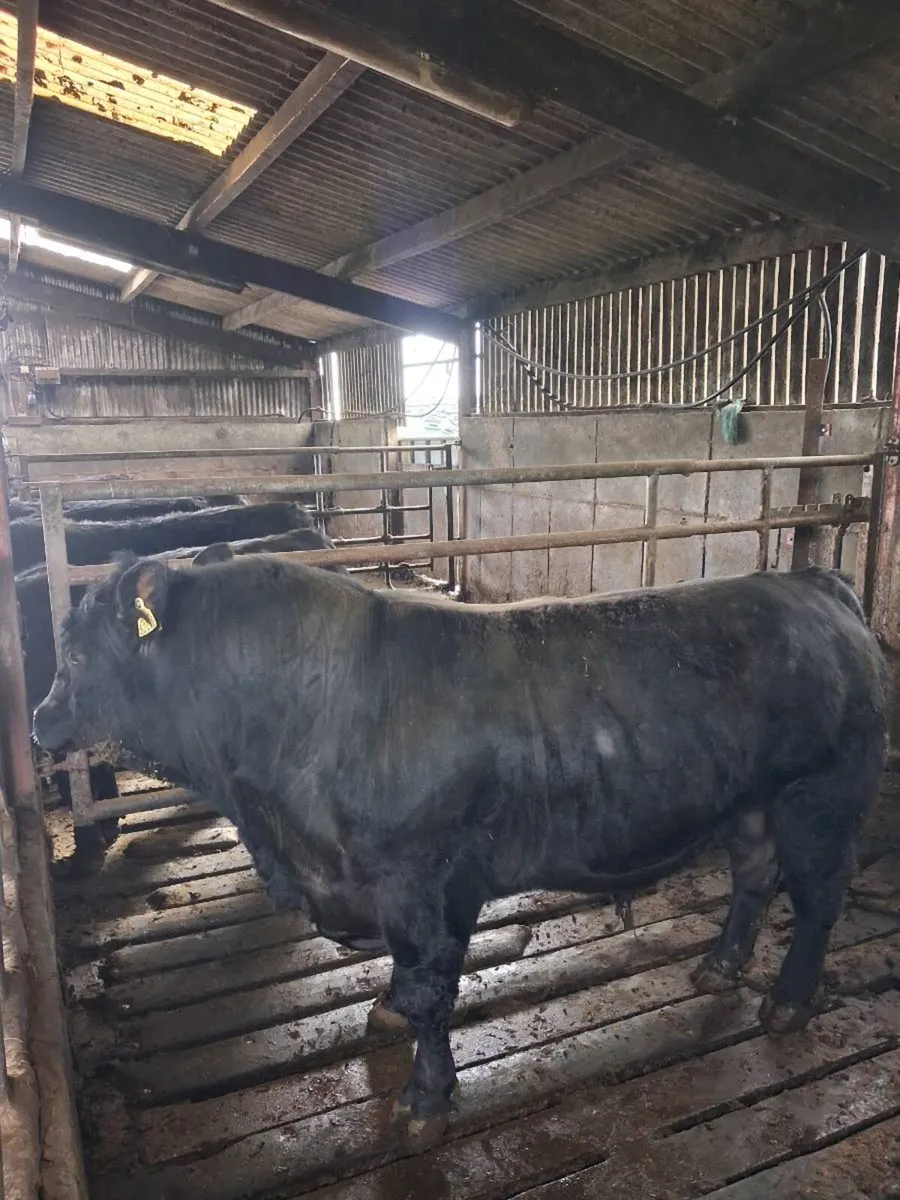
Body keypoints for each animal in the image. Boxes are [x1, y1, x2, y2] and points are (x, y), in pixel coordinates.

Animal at [32, 560, 887, 1135]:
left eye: (76, 655)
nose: (38, 721)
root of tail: (809, 583)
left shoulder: (423, 881)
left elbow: (429, 992)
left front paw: (425, 1098)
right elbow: (406, 985)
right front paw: (384, 1014)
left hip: (821, 795)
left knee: (816, 895)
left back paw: (786, 1001)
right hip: (753, 803)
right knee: (754, 877)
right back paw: (720, 964)